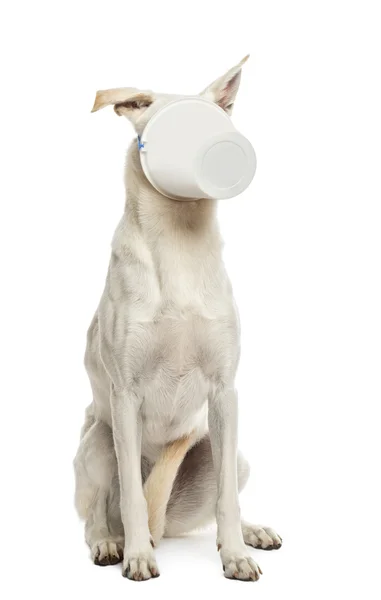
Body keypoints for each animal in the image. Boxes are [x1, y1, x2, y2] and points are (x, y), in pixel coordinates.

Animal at [74, 56, 280, 580]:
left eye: (222, 122)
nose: (225, 149)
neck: (179, 241)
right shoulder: (124, 395)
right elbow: (130, 494)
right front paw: (138, 556)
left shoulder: (224, 392)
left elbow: (227, 499)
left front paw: (235, 555)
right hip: (99, 440)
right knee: (97, 513)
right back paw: (112, 543)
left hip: (227, 450)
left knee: (223, 498)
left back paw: (250, 531)